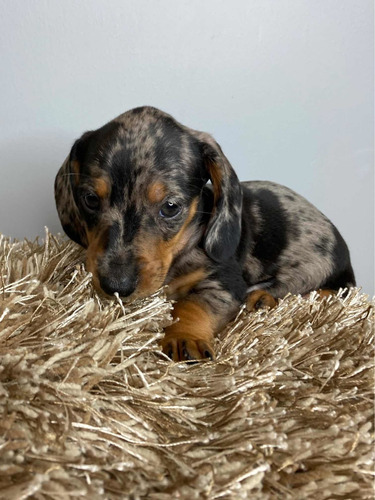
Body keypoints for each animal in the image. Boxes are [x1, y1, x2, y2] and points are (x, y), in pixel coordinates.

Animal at [54, 107, 356, 362]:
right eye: (90, 199)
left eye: (170, 207)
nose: (116, 286)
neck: (178, 253)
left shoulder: (223, 281)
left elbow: (191, 305)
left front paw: (184, 337)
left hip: (315, 268)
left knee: (326, 292)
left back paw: (264, 298)